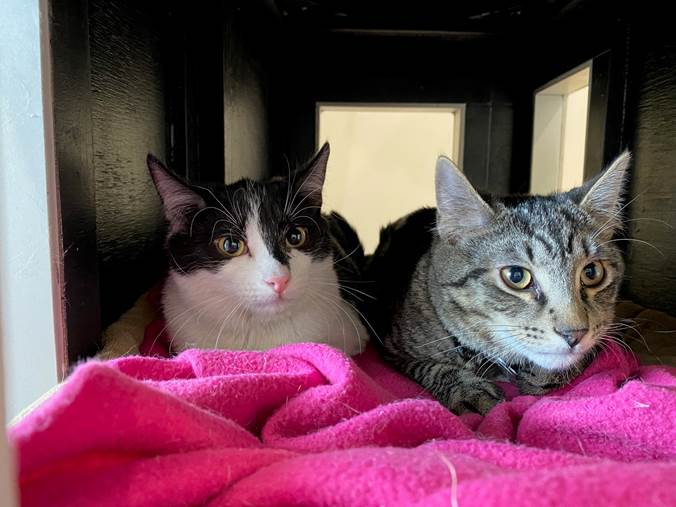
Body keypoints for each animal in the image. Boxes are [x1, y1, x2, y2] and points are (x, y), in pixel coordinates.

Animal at [364, 152, 630, 414]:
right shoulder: (393, 348)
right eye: (516, 276)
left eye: (592, 272)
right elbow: (431, 367)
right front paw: (466, 389)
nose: (575, 334)